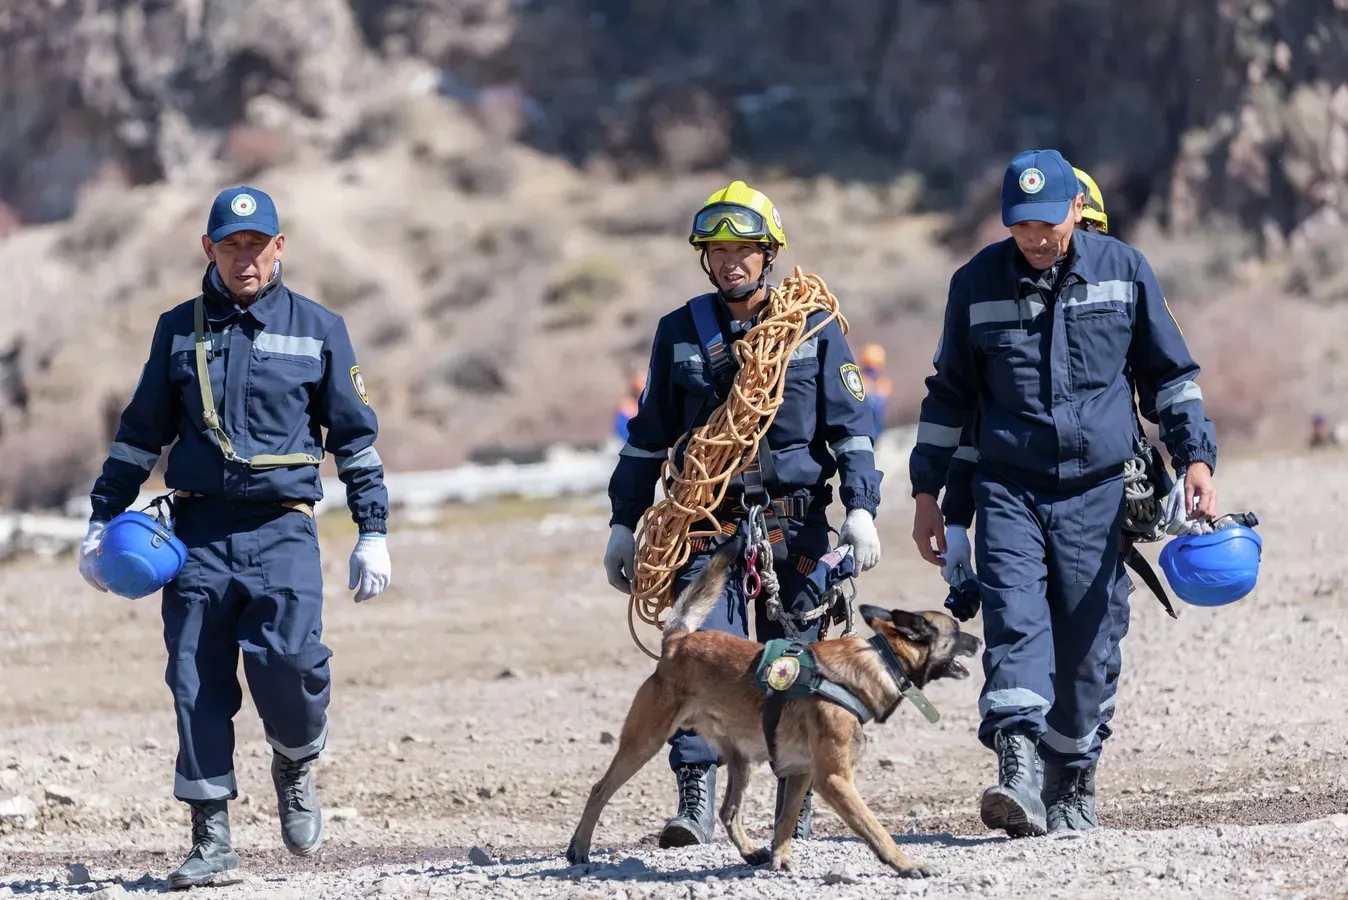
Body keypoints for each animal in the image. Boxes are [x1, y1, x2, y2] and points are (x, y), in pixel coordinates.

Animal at [568, 544, 981, 873]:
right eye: (956, 632)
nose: (978, 640)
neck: (880, 660)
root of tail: (679, 640)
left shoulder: (802, 773)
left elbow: (785, 819)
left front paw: (779, 858)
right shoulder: (835, 779)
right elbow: (875, 828)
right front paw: (906, 864)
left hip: (742, 759)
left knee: (729, 811)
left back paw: (751, 852)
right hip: (644, 742)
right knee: (599, 789)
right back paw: (579, 848)